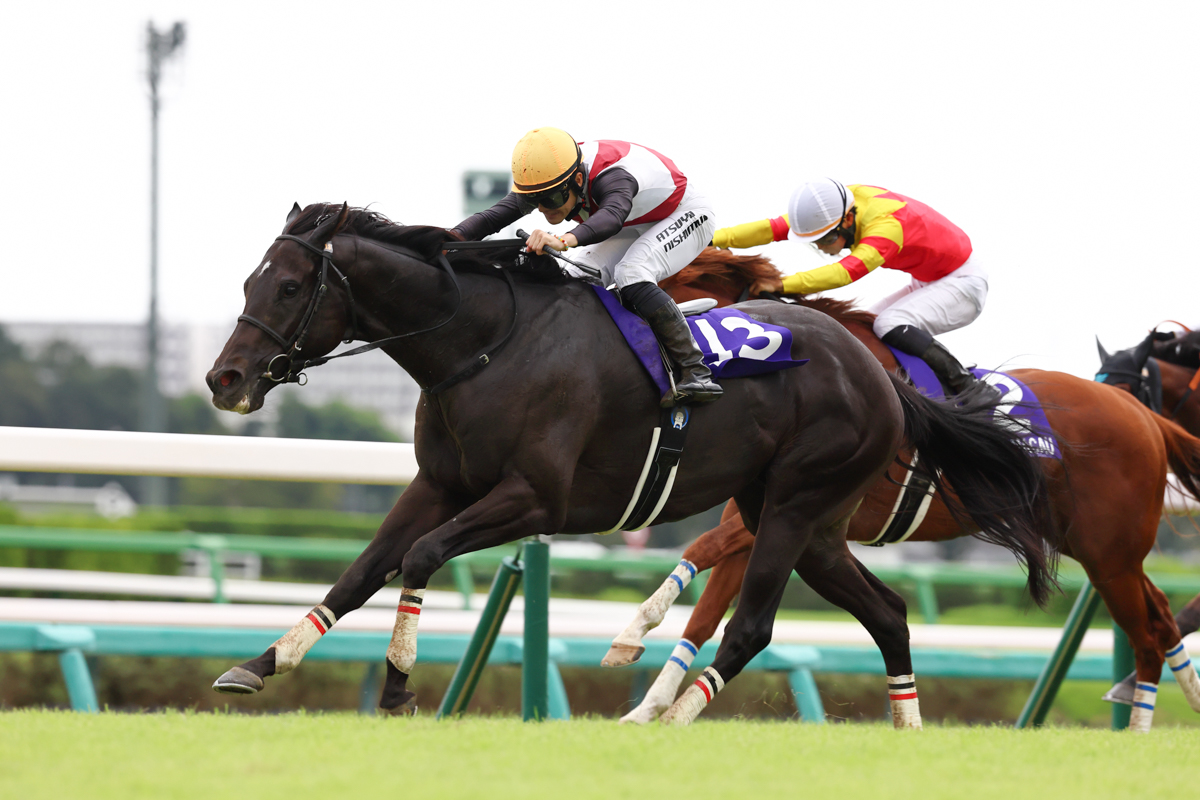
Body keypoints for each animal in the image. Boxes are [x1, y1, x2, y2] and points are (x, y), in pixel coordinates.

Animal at [208, 203, 1060, 724]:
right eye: (250, 280)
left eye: (290, 286)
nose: (225, 379)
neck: (486, 344)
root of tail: (880, 372)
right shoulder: (440, 482)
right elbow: (360, 571)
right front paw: (263, 661)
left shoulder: (535, 499)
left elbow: (417, 557)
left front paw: (395, 686)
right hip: (810, 522)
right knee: (887, 611)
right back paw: (907, 725)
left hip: (794, 504)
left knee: (753, 625)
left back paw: (669, 716)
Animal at [609, 248, 1200, 734]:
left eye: (670, 284)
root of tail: (1143, 417)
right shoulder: (762, 516)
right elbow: (705, 611)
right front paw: (645, 704)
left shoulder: (792, 509)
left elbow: (701, 549)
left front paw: (634, 635)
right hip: (1101, 552)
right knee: (1161, 616)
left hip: (1110, 554)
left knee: (1149, 632)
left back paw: (1143, 728)